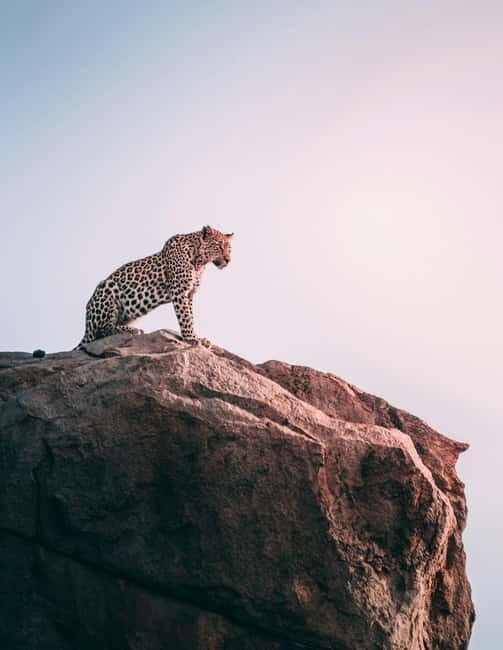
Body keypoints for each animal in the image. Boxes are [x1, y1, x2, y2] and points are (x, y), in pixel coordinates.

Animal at [75, 225, 233, 349]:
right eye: (219, 246)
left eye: (229, 249)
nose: (228, 260)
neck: (200, 263)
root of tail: (86, 324)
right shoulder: (179, 292)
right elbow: (186, 317)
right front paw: (191, 338)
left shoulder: (189, 294)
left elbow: (191, 316)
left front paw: (198, 337)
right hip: (107, 288)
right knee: (103, 330)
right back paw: (132, 330)